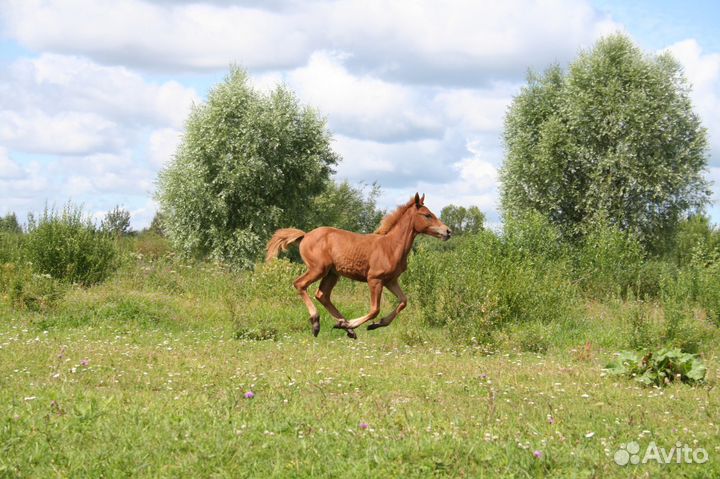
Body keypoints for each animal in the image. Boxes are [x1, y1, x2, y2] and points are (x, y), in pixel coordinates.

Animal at [265, 193, 451, 339]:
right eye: (427, 215)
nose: (448, 231)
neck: (391, 246)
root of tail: (305, 235)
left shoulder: (391, 281)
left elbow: (403, 301)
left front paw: (376, 324)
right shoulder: (374, 279)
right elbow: (375, 309)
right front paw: (357, 324)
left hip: (332, 274)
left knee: (322, 295)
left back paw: (345, 327)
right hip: (318, 269)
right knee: (300, 284)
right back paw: (318, 323)